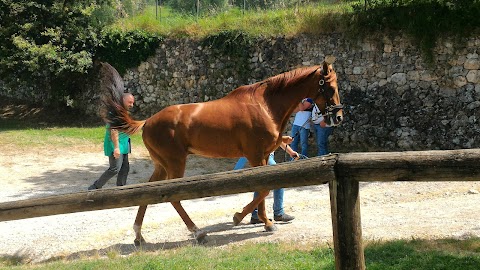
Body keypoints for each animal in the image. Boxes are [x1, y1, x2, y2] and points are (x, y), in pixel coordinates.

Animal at [99, 59, 344, 245]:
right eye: (330, 88)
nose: (339, 117)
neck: (264, 105)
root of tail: (147, 121)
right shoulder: (256, 157)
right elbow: (263, 190)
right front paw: (238, 217)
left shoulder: (263, 157)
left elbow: (263, 190)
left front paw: (266, 223)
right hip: (175, 164)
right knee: (174, 197)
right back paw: (198, 232)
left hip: (162, 165)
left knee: (148, 192)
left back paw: (139, 235)